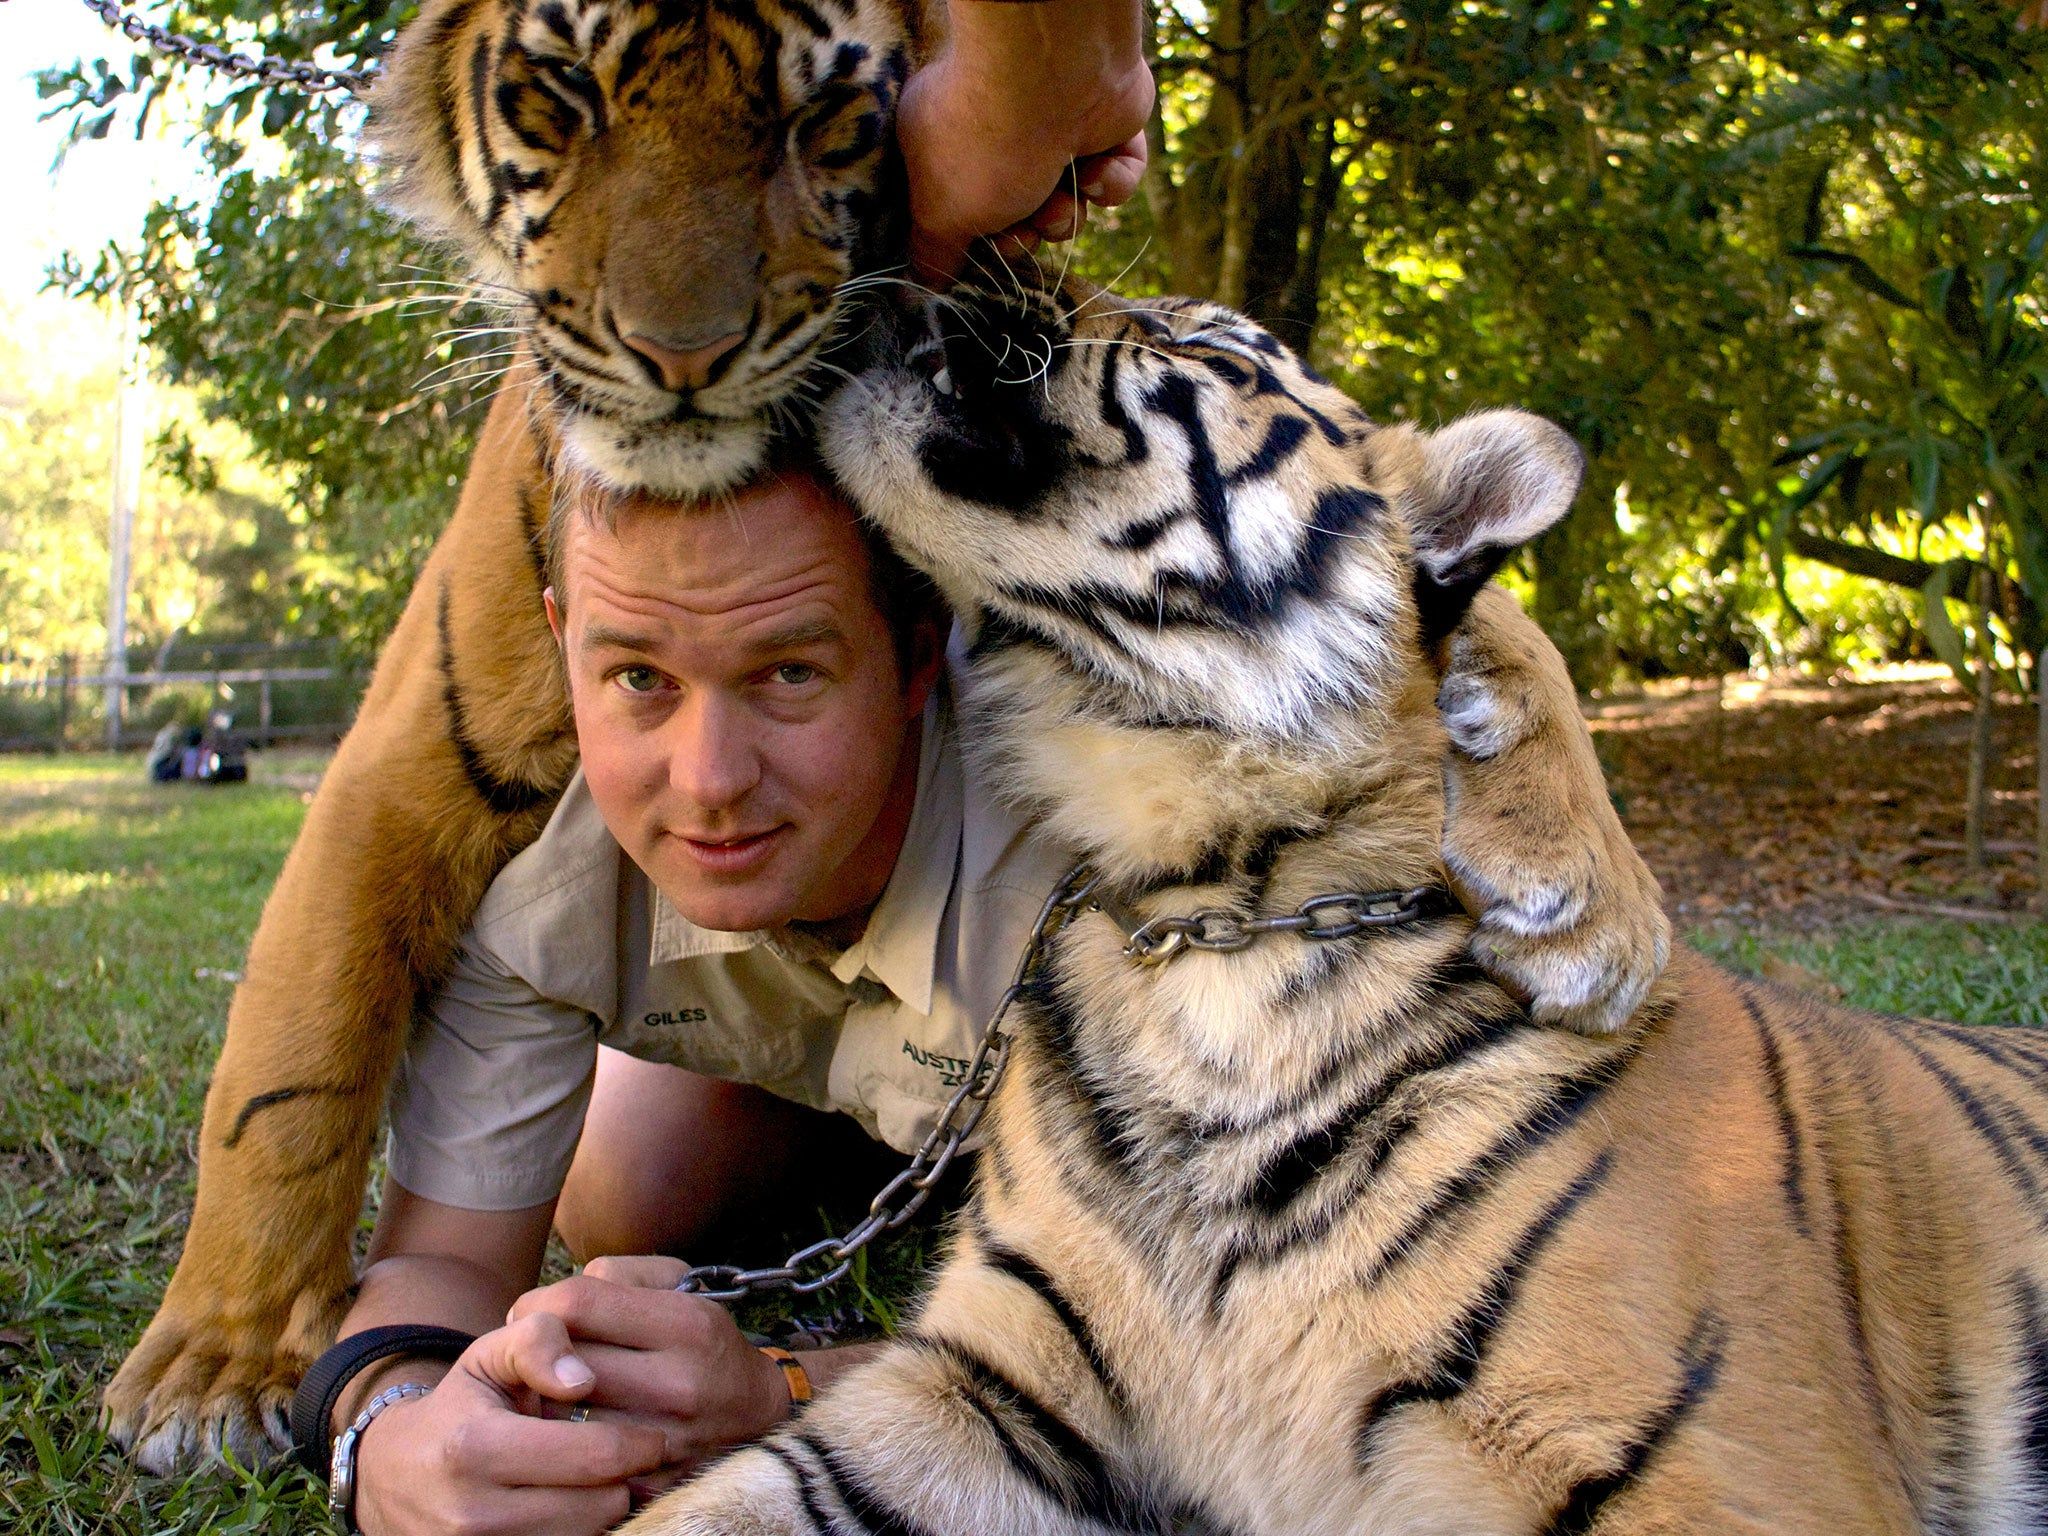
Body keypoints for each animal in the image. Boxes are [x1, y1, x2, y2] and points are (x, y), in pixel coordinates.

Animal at [102, 0, 1668, 1477]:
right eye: (564, 102)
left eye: (824, 124)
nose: (683, 354)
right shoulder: (408, 767)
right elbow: (288, 1066)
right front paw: (219, 1367)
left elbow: (1482, 620)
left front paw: (1588, 894)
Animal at [614, 272, 2048, 1536]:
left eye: (1206, 348)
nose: (933, 267)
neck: (1208, 915)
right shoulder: (994, 1387)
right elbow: (709, 1509)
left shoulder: (1728, 1465)